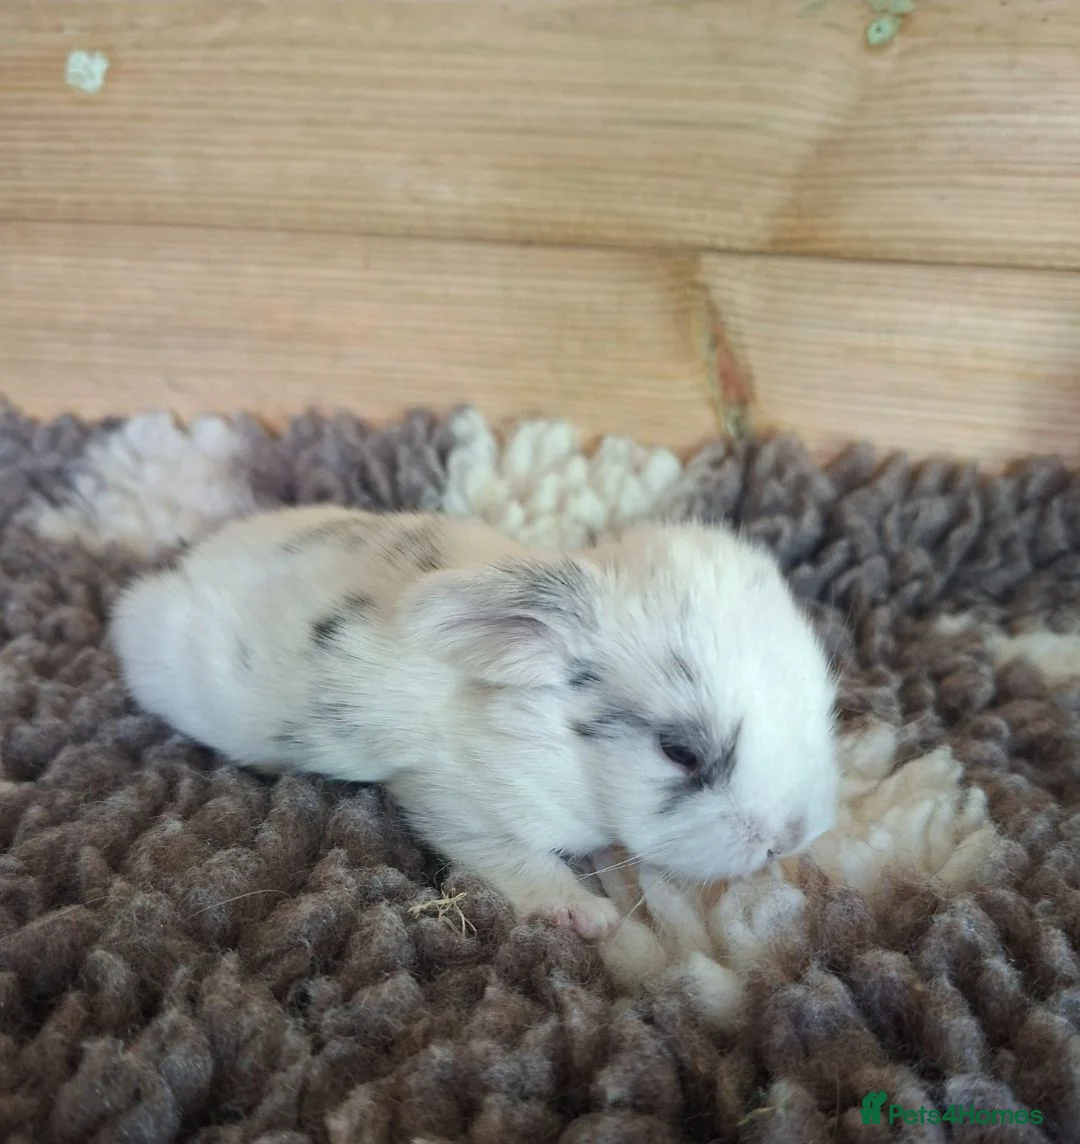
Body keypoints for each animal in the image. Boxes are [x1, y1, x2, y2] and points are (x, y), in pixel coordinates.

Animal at [109, 503, 840, 940]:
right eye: (679, 751)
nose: (788, 839)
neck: (551, 740)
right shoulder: (457, 804)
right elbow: (519, 862)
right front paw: (589, 916)